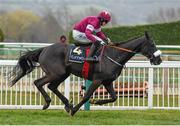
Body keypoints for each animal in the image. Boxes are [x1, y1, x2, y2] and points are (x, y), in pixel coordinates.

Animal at [8, 31, 162, 116]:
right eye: (152, 44)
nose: (159, 60)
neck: (114, 54)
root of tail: (44, 49)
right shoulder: (97, 80)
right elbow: (86, 95)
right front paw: (75, 110)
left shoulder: (107, 81)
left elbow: (113, 97)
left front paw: (96, 101)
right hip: (56, 73)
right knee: (38, 82)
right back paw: (49, 103)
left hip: (63, 74)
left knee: (52, 86)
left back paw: (67, 104)